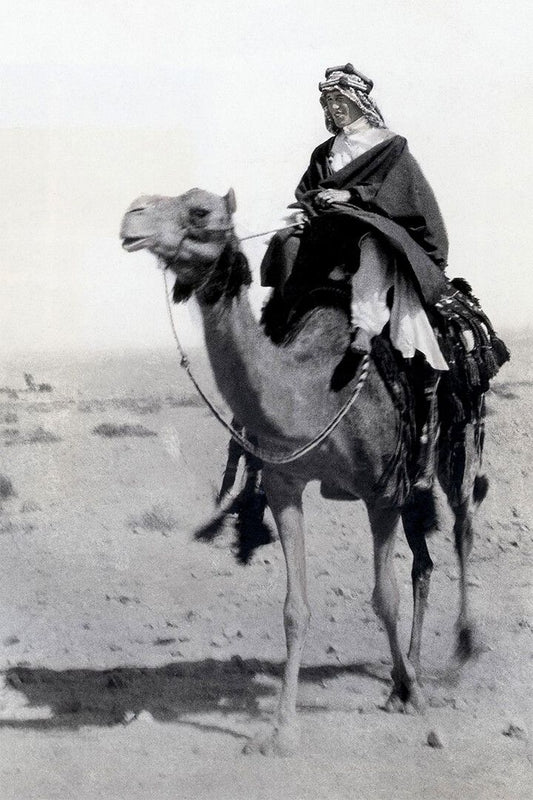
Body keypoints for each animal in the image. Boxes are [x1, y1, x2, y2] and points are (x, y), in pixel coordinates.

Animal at [120, 188, 488, 755]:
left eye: (199, 210)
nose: (132, 216)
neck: (317, 389)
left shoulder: (380, 492)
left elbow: (384, 599)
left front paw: (423, 709)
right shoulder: (285, 483)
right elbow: (296, 608)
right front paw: (281, 731)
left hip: (454, 441)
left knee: (463, 526)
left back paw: (460, 650)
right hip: (411, 479)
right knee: (423, 562)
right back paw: (405, 677)